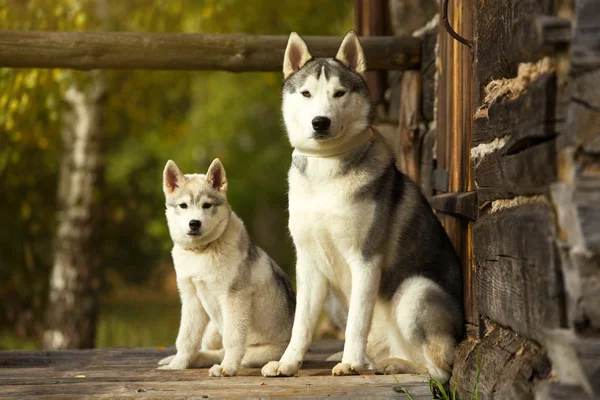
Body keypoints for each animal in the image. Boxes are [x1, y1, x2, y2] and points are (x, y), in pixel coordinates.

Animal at [159, 159, 296, 376]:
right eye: (183, 205)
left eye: (207, 205)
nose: (194, 223)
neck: (202, 252)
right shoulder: (191, 298)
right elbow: (186, 338)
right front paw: (178, 365)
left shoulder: (233, 298)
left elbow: (232, 339)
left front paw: (228, 368)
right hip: (211, 329)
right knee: (213, 350)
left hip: (256, 351)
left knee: (234, 352)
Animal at [262, 30, 464, 382]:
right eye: (306, 93)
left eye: (339, 93)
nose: (320, 122)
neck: (325, 170)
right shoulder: (309, 263)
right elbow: (301, 325)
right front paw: (287, 363)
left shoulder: (366, 259)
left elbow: (357, 321)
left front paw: (351, 363)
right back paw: (385, 361)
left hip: (415, 291)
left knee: (439, 369)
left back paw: (392, 365)